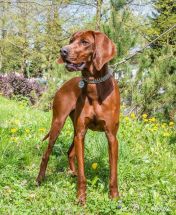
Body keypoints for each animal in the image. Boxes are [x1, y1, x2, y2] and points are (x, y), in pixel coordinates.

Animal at [36, 29, 120, 203]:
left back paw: (72, 173)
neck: (95, 86)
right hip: (59, 123)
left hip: (75, 129)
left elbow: (113, 171)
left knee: (70, 152)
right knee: (46, 154)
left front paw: (114, 196)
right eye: (71, 40)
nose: (63, 51)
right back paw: (40, 179)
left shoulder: (111, 137)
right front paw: (81, 197)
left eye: (85, 42)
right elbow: (83, 173)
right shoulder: (81, 133)